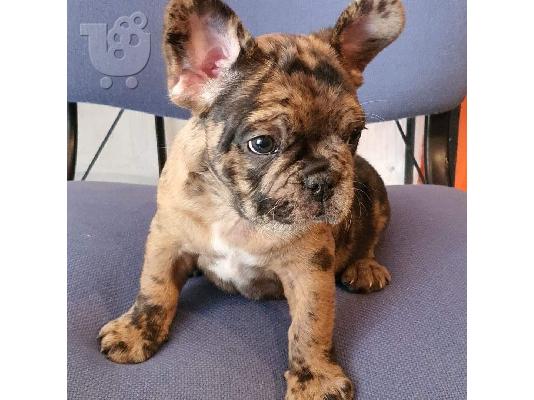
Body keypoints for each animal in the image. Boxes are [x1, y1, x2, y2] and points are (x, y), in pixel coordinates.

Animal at [98, 0, 404, 398]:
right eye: (262, 143)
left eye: (354, 135)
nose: (323, 178)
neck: (237, 212)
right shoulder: (166, 236)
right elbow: (155, 287)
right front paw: (135, 332)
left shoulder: (310, 269)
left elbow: (310, 325)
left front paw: (315, 379)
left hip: (374, 194)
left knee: (370, 239)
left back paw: (364, 267)